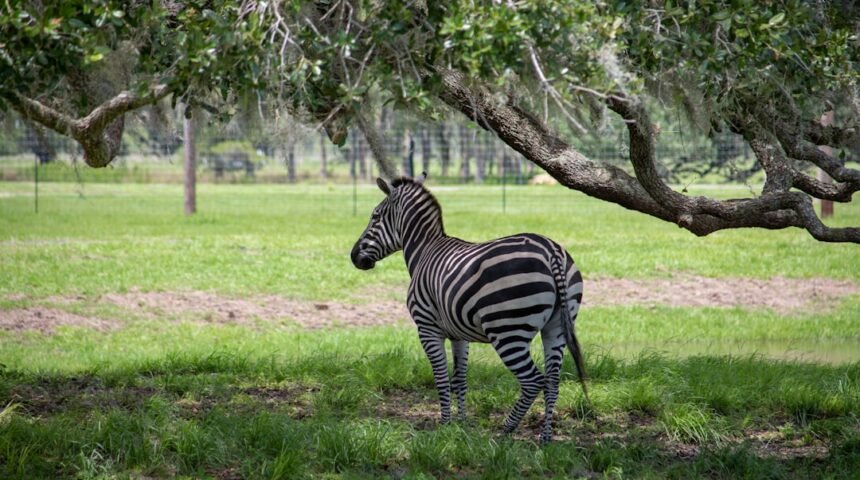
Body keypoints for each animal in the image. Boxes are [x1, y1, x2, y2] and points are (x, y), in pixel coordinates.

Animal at [350, 172, 588, 443]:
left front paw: (444, 426)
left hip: (508, 331)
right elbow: (460, 380)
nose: (354, 256)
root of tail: (551, 252)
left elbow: (441, 379)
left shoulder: (427, 329)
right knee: (553, 381)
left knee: (533, 381)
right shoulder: (459, 334)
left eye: (375, 215)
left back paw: (504, 432)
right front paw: (461, 426)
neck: (424, 251)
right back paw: (545, 438)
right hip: (556, 327)